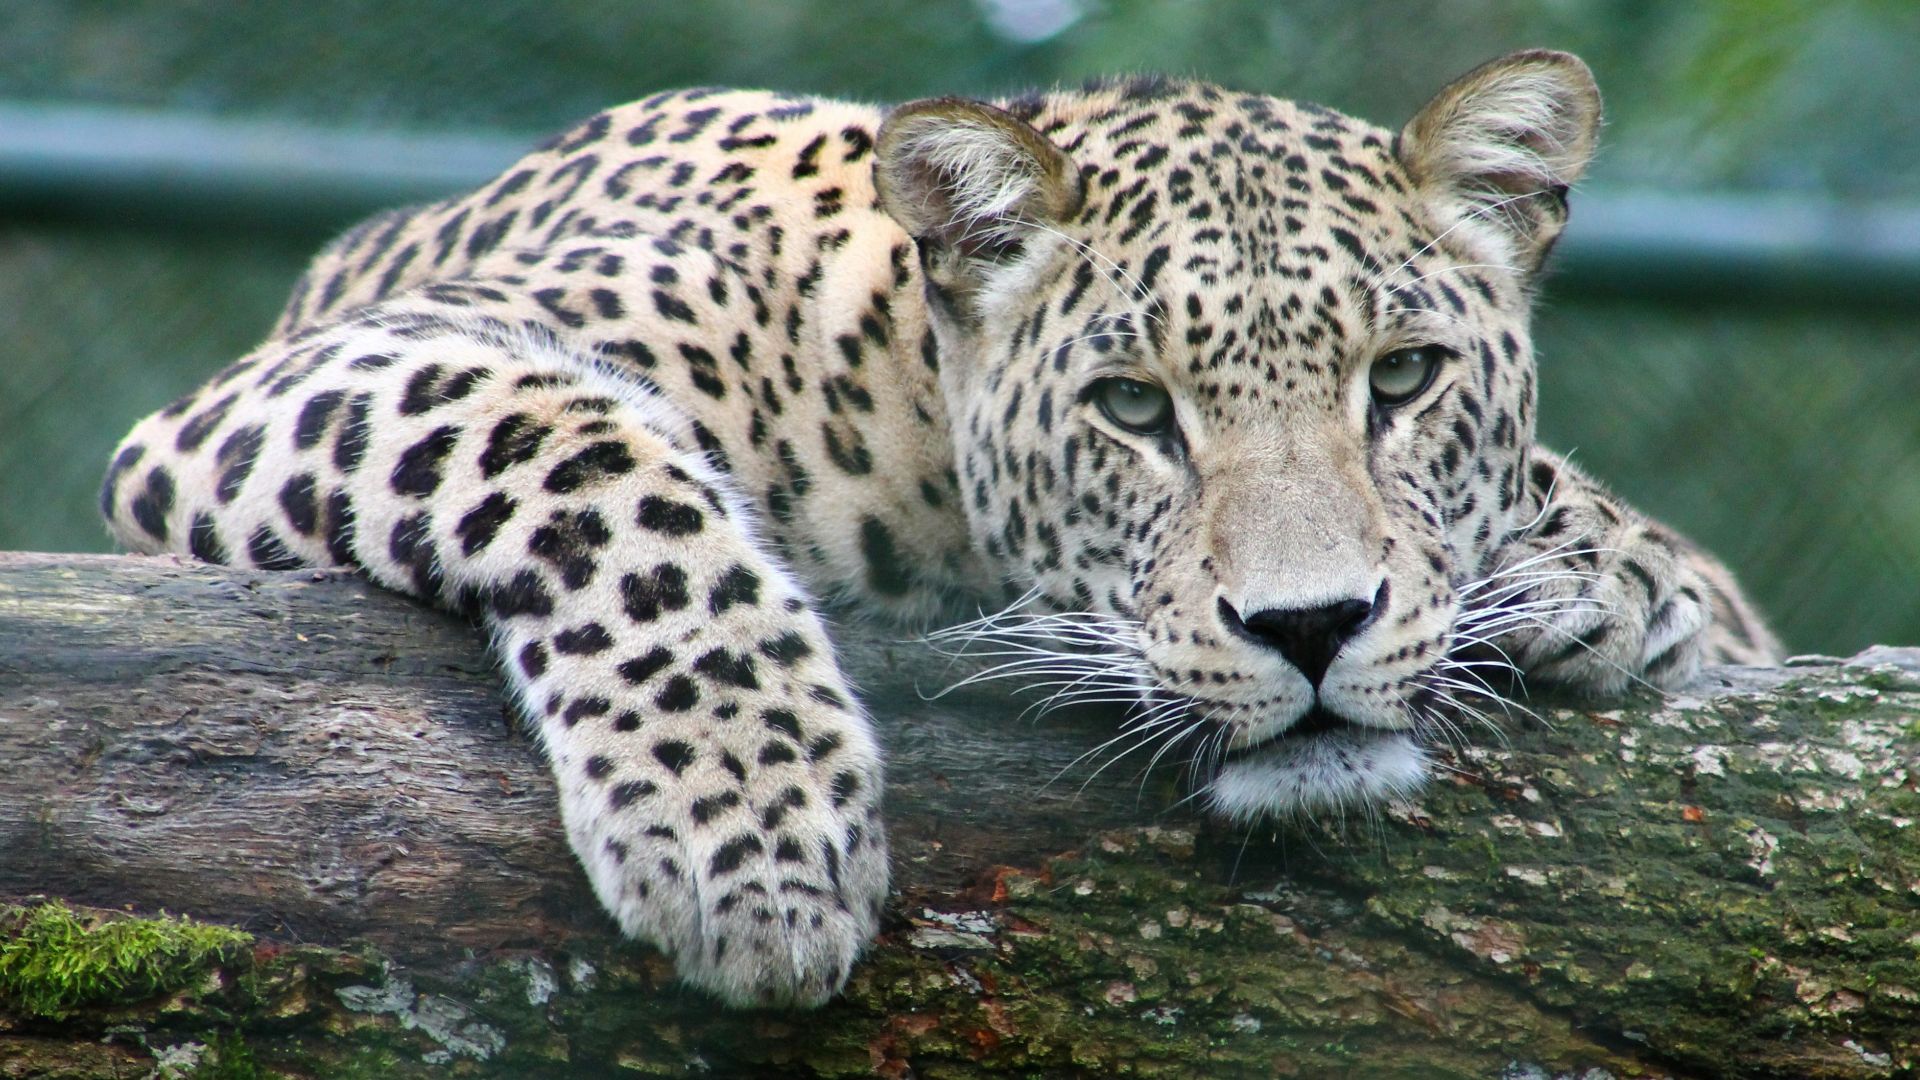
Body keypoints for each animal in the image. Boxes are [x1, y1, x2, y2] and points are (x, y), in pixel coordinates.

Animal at [101, 49, 1780, 1008]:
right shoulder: (311, 379)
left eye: (1407, 379)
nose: (1310, 629)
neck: (899, 401)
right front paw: (752, 830)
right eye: (1132, 408)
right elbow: (591, 460)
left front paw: (1604, 570)